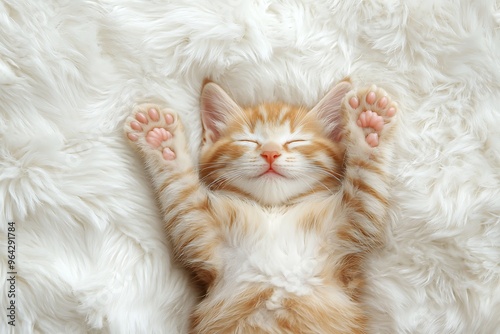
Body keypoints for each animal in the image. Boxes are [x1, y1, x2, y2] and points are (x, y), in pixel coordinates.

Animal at [125, 79, 398, 334]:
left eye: (296, 141)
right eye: (248, 141)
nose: (270, 153)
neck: (273, 211)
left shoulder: (352, 227)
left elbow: (366, 183)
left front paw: (368, 124)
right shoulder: (199, 230)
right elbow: (180, 190)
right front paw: (160, 139)